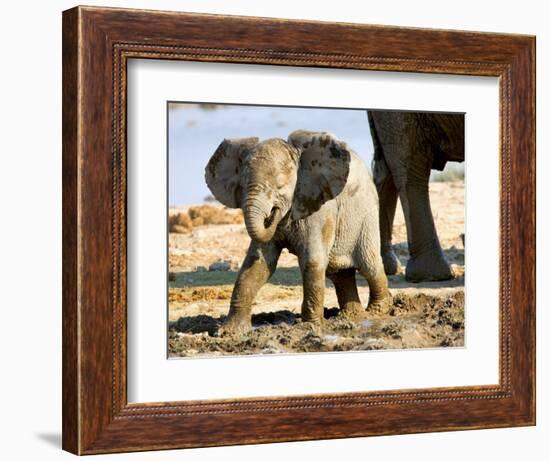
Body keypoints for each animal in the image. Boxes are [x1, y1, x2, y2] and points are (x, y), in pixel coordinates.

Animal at [205, 131, 390, 332]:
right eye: (243, 184)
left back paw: (377, 311)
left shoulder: (319, 208)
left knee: (369, 265)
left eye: (280, 186)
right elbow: (258, 263)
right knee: (339, 272)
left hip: (367, 216)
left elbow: (312, 261)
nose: (273, 213)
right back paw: (352, 316)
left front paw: (309, 327)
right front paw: (228, 331)